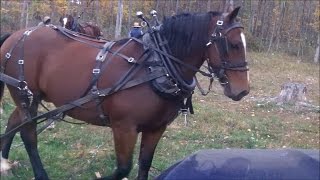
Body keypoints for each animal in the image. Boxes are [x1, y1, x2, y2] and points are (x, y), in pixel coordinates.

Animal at [0, 7, 249, 180]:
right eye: (234, 44)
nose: (243, 90)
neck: (155, 66)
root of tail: (15, 35)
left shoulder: (156, 127)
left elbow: (144, 163)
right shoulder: (124, 127)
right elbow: (123, 168)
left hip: (30, 97)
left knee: (14, 122)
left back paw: (4, 162)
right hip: (25, 95)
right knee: (28, 134)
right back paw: (39, 173)